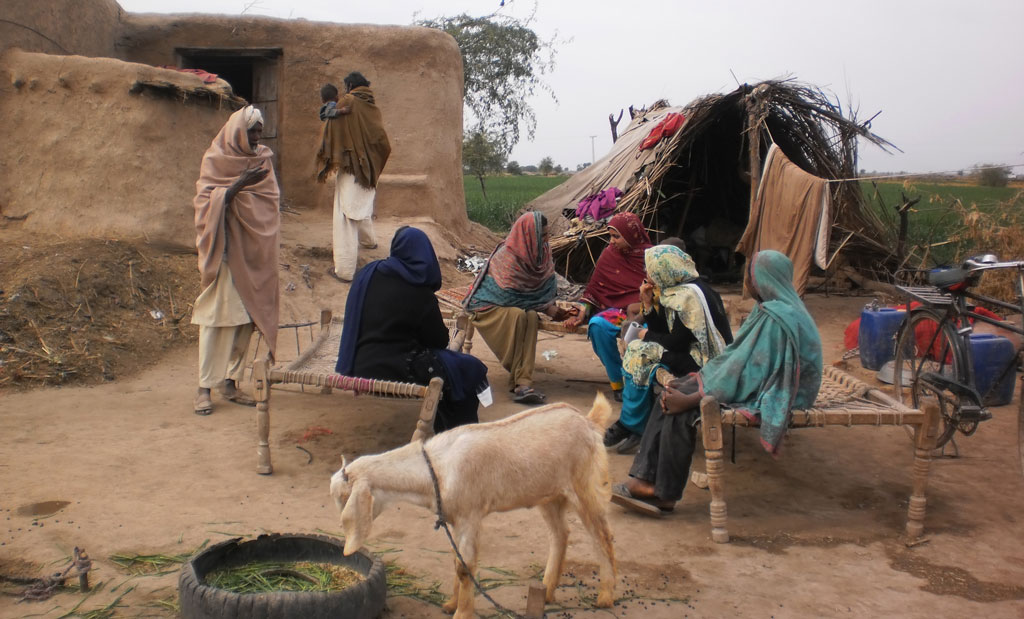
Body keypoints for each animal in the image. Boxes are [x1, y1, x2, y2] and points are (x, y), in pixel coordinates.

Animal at [331, 393, 614, 614]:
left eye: (343, 498)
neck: (438, 468)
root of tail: (589, 421)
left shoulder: (470, 517)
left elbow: (464, 568)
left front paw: (462, 612)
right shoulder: (455, 519)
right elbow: (456, 561)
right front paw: (450, 604)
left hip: (584, 486)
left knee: (602, 535)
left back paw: (605, 596)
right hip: (549, 495)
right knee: (560, 534)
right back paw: (546, 592)